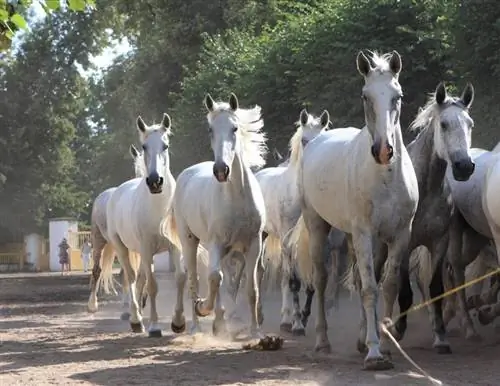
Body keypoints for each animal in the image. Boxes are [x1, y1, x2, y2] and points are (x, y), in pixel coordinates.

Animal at [97, 113, 189, 336]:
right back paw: (136, 320)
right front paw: (154, 327)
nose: (155, 181)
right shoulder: (146, 250)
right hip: (122, 248)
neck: (158, 208)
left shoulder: (175, 247)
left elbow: (180, 278)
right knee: (130, 277)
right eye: (144, 146)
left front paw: (178, 322)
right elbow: (152, 284)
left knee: (138, 280)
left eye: (165, 145)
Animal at [163, 93, 266, 338]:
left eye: (234, 128)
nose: (221, 170)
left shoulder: (254, 244)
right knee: (193, 278)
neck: (237, 199)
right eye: (210, 129)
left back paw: (218, 323)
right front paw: (202, 307)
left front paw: (256, 333)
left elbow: (251, 289)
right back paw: (192, 325)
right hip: (191, 241)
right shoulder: (217, 243)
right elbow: (213, 278)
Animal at [256, 108, 330, 334]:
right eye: (305, 141)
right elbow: (294, 282)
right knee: (260, 271)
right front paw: (297, 323)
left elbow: (310, 282)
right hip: (263, 235)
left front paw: (302, 318)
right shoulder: (287, 242)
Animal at [288, 49, 420, 370]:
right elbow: (370, 288)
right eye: (365, 96)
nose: (383, 150)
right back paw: (323, 341)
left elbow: (387, 285)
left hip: (351, 237)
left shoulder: (400, 235)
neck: (385, 177)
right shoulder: (364, 233)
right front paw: (374, 353)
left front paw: (384, 345)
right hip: (320, 227)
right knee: (321, 280)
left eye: (397, 96)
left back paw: (360, 340)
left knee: (359, 281)